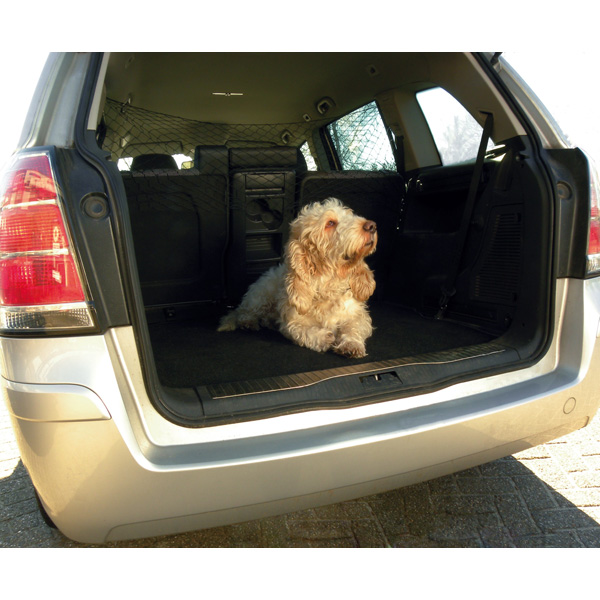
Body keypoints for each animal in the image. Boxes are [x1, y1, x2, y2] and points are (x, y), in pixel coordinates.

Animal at [218, 198, 378, 356]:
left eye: (350, 215)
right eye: (330, 223)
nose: (371, 226)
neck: (328, 286)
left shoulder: (358, 315)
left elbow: (353, 327)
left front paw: (351, 344)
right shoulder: (291, 322)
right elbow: (304, 332)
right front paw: (325, 338)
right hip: (260, 295)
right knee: (243, 311)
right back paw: (248, 322)